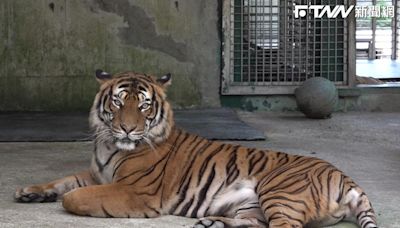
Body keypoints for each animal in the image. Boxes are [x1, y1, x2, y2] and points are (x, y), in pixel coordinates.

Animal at [14, 70, 378, 228]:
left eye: (144, 105)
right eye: (118, 101)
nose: (128, 128)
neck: (109, 144)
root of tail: (347, 178)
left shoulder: (137, 192)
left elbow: (73, 196)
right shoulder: (96, 173)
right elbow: (64, 180)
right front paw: (29, 191)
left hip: (279, 191)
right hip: (254, 205)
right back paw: (211, 223)